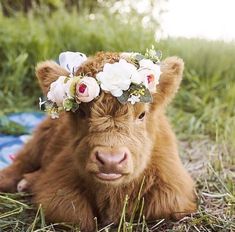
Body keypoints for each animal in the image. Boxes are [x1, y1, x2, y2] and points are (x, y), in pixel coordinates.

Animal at [0, 50, 196, 230]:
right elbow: (75, 215)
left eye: (142, 115)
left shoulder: (174, 194)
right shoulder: (57, 186)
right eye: (81, 113)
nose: (111, 160)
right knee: (21, 161)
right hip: (40, 138)